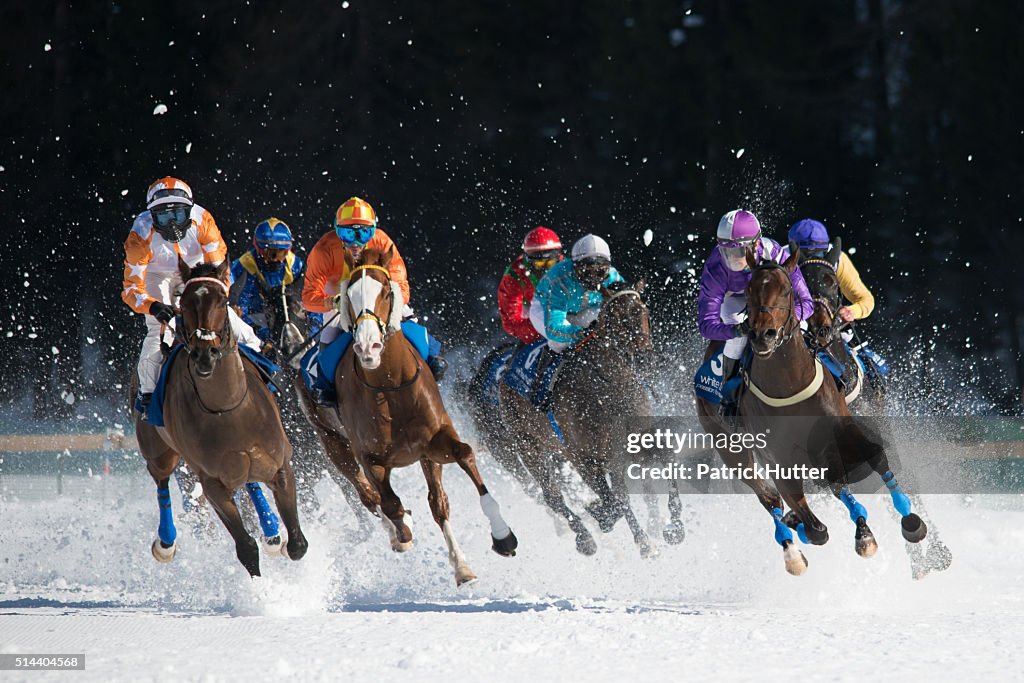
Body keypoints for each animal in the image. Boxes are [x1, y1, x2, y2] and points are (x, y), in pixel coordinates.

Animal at [134, 259, 307, 581]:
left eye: (222, 301)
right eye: (184, 304)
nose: (205, 354)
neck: (229, 410)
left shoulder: (281, 465)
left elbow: (297, 545)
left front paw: (276, 537)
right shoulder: (212, 482)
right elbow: (247, 550)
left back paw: (271, 530)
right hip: (159, 452)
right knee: (161, 479)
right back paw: (166, 542)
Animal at [296, 248, 520, 585]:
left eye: (387, 292)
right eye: (348, 295)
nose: (368, 347)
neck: (388, 387)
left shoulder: (433, 441)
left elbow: (460, 464)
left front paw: (500, 538)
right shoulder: (369, 456)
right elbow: (389, 502)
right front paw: (402, 531)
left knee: (428, 500)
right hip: (331, 441)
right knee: (368, 496)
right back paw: (396, 531)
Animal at [497, 280, 684, 557]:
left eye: (644, 312)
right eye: (615, 319)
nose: (644, 358)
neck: (609, 387)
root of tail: (507, 369)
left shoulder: (636, 439)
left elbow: (667, 459)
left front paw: (675, 527)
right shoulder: (585, 456)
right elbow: (616, 499)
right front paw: (642, 542)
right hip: (528, 445)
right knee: (553, 496)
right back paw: (584, 538)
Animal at [696, 245, 929, 577]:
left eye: (787, 290)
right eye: (750, 290)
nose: (763, 335)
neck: (789, 383)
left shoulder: (843, 428)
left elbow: (876, 457)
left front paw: (910, 524)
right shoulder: (780, 456)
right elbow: (814, 525)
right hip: (731, 448)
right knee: (771, 498)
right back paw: (793, 545)